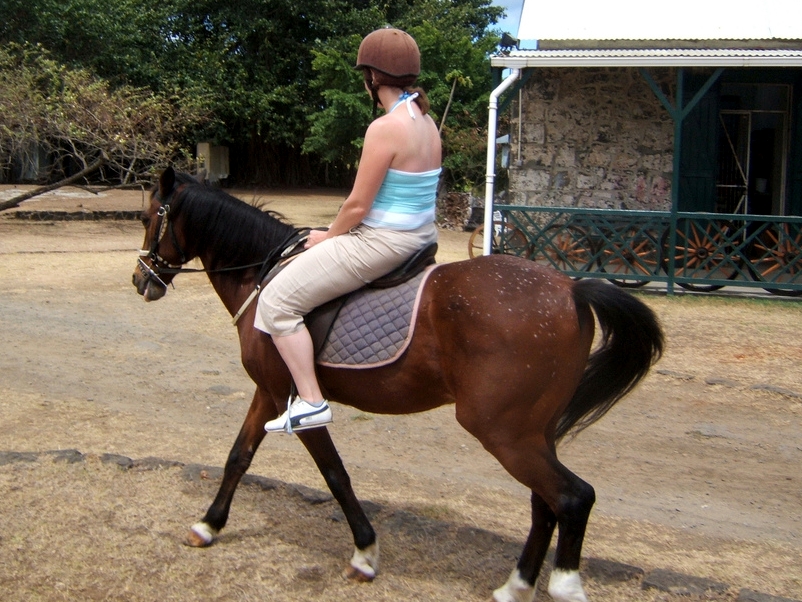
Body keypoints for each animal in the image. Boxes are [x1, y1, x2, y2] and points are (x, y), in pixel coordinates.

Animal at [133, 168, 664, 600]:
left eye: (146, 218)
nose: (141, 281)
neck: (262, 274)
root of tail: (571, 288)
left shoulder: (294, 401)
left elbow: (335, 475)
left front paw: (365, 553)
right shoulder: (267, 394)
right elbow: (238, 457)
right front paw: (208, 525)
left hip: (503, 432)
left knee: (573, 498)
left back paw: (561, 586)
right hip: (534, 432)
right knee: (545, 503)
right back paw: (514, 587)